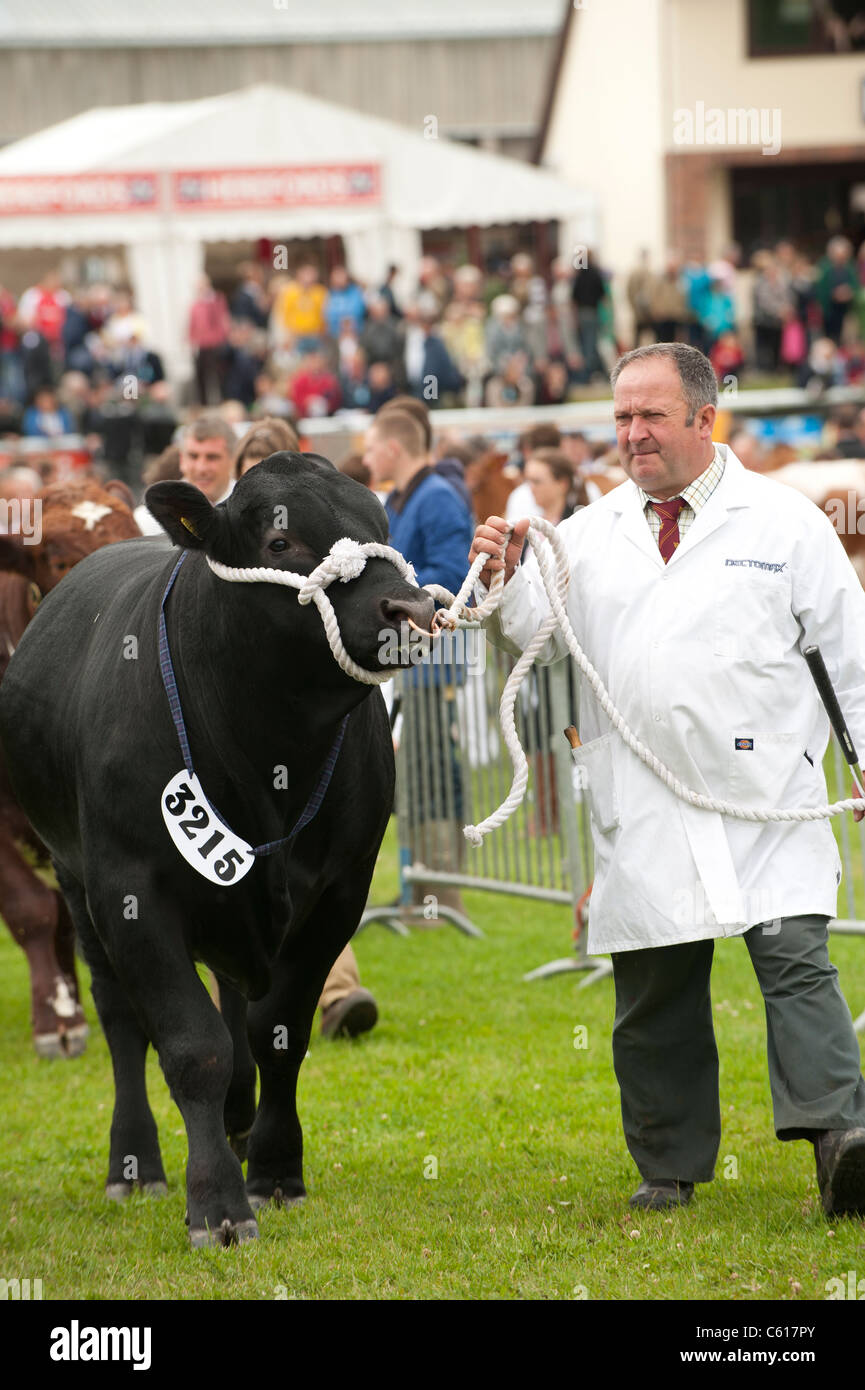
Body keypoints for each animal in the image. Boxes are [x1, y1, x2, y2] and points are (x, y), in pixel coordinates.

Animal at [0, 455, 436, 1251]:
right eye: (279, 539)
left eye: (380, 522)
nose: (409, 611)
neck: (269, 752)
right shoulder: (132, 892)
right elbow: (189, 1044)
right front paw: (218, 1204)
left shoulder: (339, 893)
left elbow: (277, 1033)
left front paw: (275, 1171)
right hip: (76, 880)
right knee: (121, 1019)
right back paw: (135, 1160)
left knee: (236, 1001)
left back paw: (238, 1120)